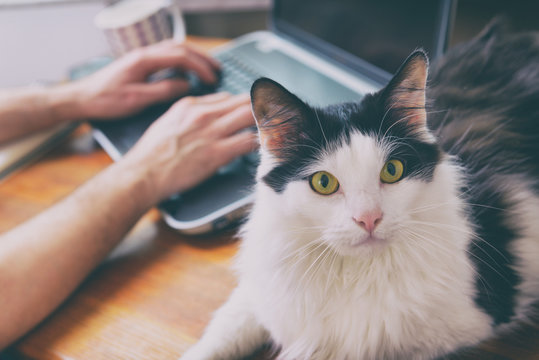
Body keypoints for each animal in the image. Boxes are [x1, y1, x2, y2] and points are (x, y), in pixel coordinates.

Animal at [181, 20, 539, 360]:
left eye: (392, 171)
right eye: (323, 182)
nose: (369, 219)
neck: (353, 274)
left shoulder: (458, 325)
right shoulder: (266, 289)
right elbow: (227, 329)